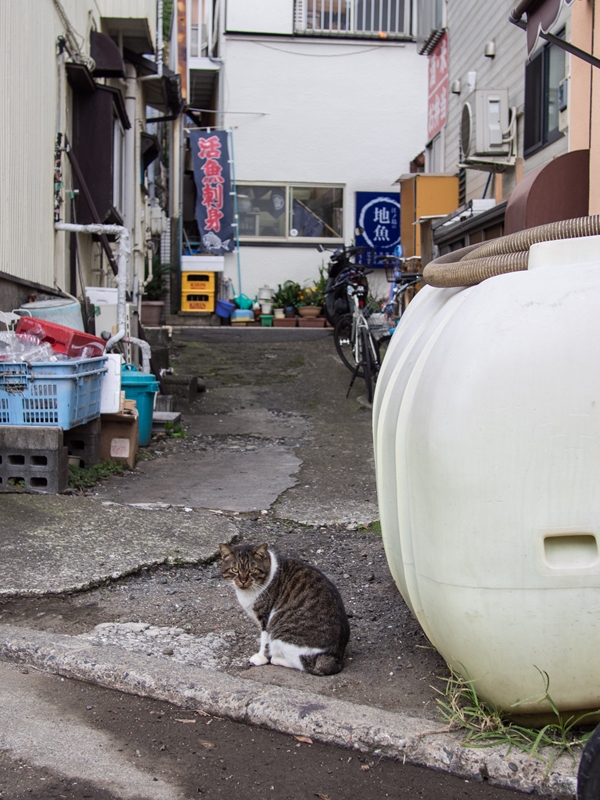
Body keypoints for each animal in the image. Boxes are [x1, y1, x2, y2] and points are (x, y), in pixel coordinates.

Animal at [219, 544, 352, 676]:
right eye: (234, 570)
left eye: (252, 570)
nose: (242, 581)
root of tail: (334, 657)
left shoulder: (265, 618)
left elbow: (264, 641)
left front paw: (260, 658)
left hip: (281, 631)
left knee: (303, 663)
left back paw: (277, 658)